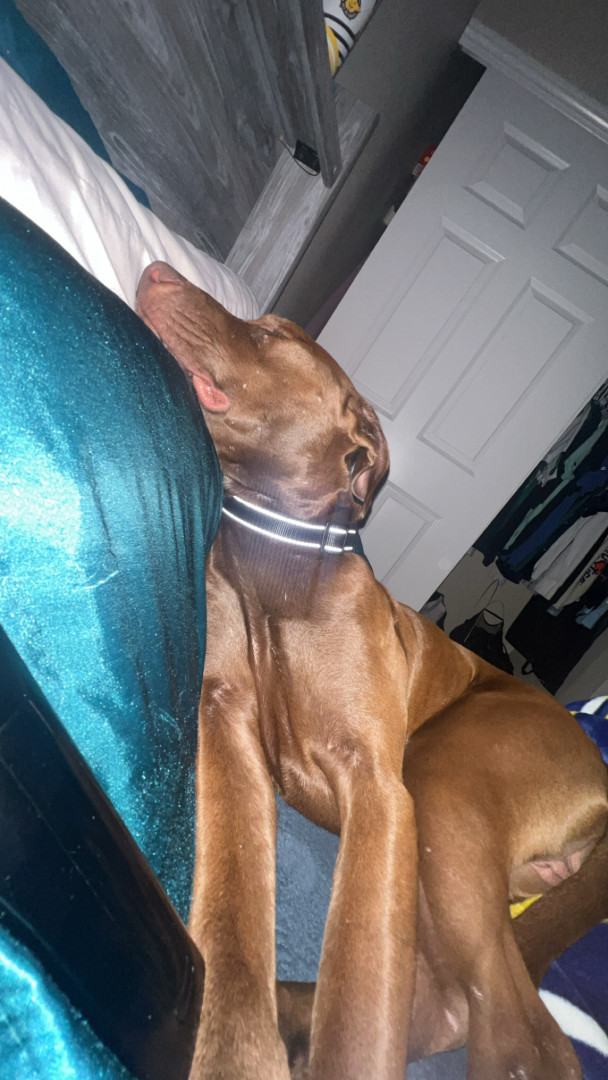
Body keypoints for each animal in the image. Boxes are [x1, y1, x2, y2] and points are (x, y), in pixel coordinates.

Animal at [136, 261, 608, 1080]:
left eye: (270, 334)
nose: (159, 269)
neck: (278, 561)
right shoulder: (224, 720)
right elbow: (230, 922)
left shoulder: (380, 791)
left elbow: (361, 1010)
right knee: (449, 998)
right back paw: (291, 1011)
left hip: (444, 782)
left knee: (518, 1032)